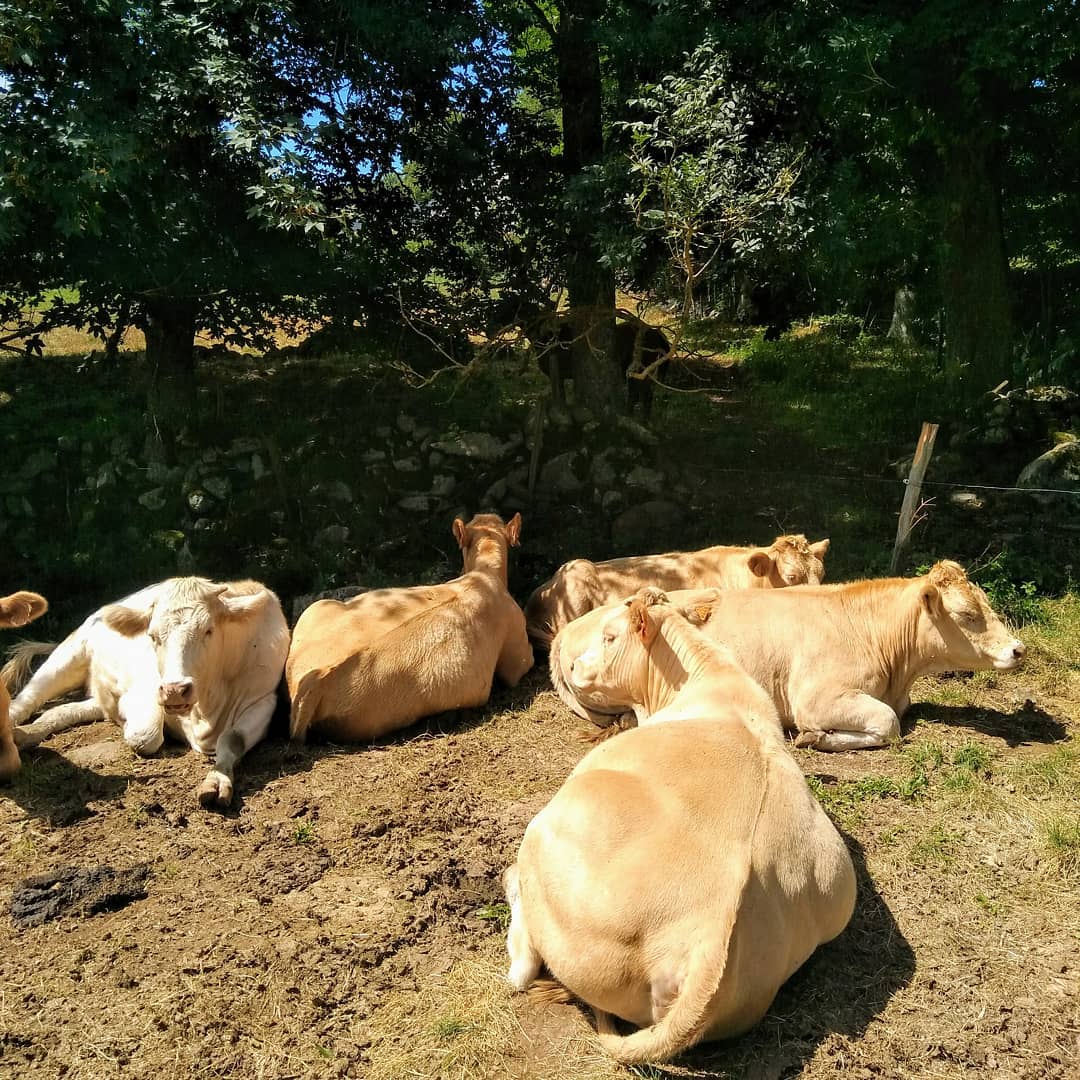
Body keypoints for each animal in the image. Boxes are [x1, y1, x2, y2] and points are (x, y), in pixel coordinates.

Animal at [6, 578, 289, 807]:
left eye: (208, 630)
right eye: (152, 636)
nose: (175, 691)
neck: (206, 710)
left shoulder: (263, 701)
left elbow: (232, 740)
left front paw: (217, 781)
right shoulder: (142, 691)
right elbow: (145, 736)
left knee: (59, 711)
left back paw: (26, 734)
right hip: (70, 652)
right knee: (26, 700)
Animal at [549, 561, 1025, 751]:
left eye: (985, 602)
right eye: (966, 614)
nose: (1018, 649)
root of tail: (566, 631)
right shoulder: (815, 698)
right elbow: (888, 724)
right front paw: (818, 738)